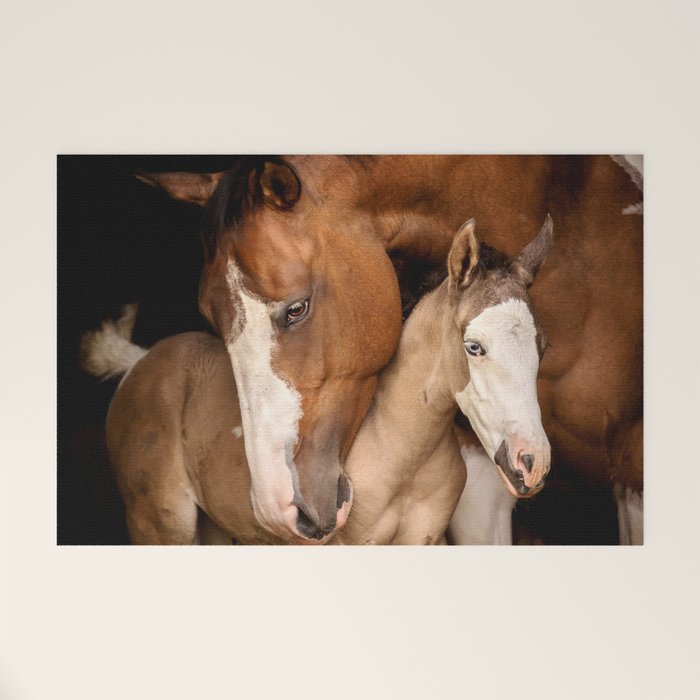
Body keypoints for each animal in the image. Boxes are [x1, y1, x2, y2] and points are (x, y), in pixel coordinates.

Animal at [82, 218, 553, 544]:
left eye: (542, 345)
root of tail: (139, 362)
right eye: (474, 346)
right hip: (161, 522)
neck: (399, 451)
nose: (532, 462)